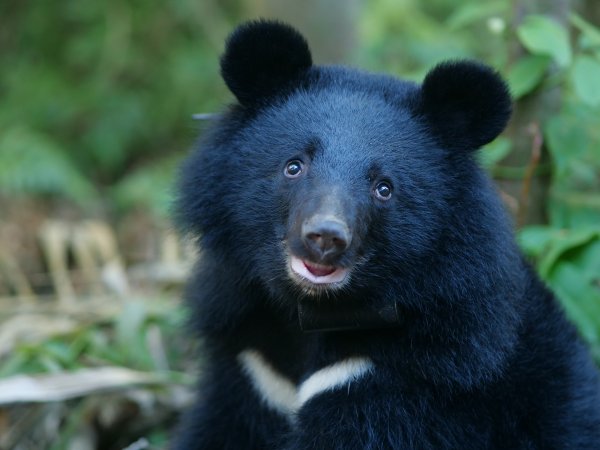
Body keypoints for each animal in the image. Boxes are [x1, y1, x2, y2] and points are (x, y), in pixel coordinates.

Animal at [171, 19, 600, 448]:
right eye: (294, 166)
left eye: (384, 188)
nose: (325, 237)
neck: (311, 313)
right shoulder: (254, 366)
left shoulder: (409, 379)